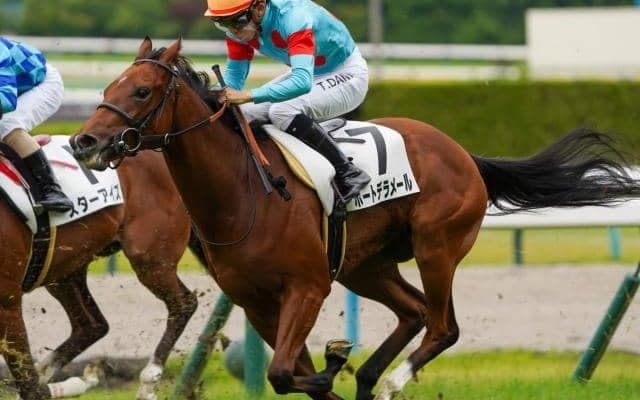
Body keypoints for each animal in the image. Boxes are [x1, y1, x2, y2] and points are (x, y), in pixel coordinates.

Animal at [0, 135, 208, 400]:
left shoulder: (7, 301)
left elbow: (31, 388)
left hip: (151, 257)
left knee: (183, 304)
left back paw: (148, 382)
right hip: (64, 269)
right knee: (92, 326)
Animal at [70, 37, 640, 400]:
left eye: (141, 91)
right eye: (109, 87)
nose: (84, 141)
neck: (245, 194)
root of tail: (464, 154)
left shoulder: (307, 286)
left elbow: (285, 373)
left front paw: (334, 363)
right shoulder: (255, 301)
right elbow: (288, 372)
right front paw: (334, 367)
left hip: (436, 248)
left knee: (442, 326)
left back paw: (389, 382)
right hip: (365, 265)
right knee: (413, 312)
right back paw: (368, 377)